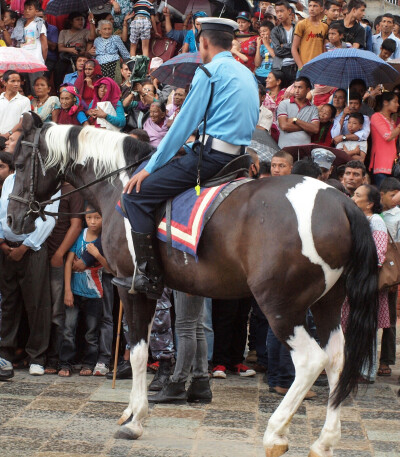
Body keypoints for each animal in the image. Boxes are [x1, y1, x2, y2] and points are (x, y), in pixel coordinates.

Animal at [7, 111, 380, 456]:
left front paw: (136, 419)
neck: (120, 185)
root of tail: (343, 203)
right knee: (337, 359)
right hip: (328, 303)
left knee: (310, 361)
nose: (12, 219)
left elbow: (139, 351)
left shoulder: (131, 286)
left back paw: (276, 433)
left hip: (281, 306)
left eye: (20, 164)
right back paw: (325, 440)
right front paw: (131, 411)